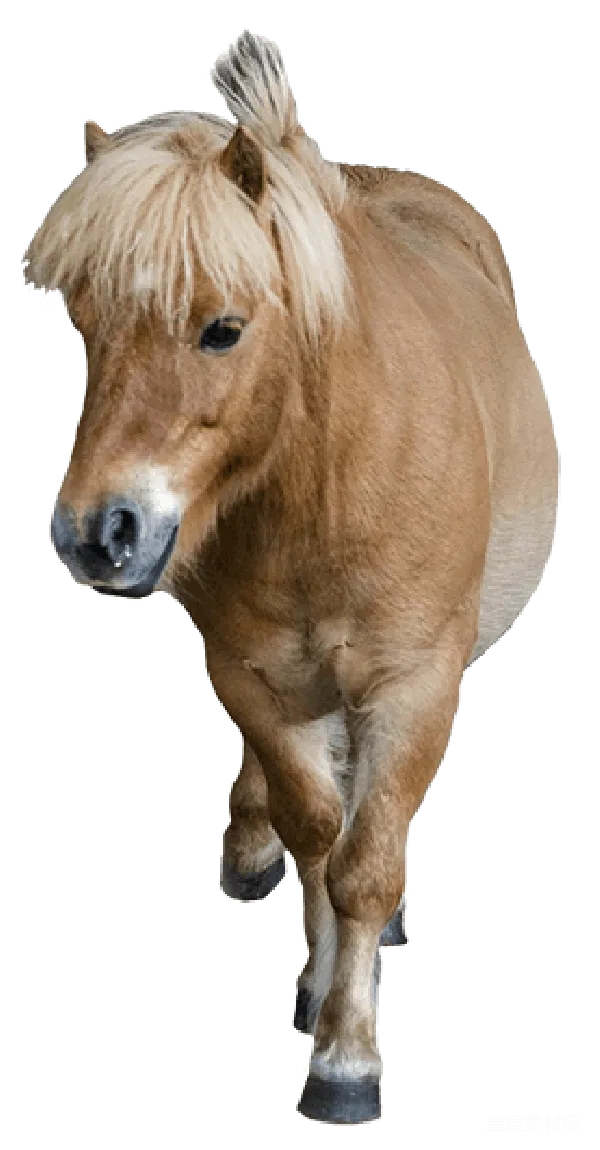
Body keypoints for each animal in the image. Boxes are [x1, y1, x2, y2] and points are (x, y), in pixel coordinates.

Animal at [25, 32, 558, 1126]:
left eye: (222, 329)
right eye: (86, 326)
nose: (97, 533)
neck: (330, 482)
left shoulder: (415, 684)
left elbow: (364, 861)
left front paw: (348, 1057)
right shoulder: (251, 676)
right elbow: (317, 829)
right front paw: (318, 992)